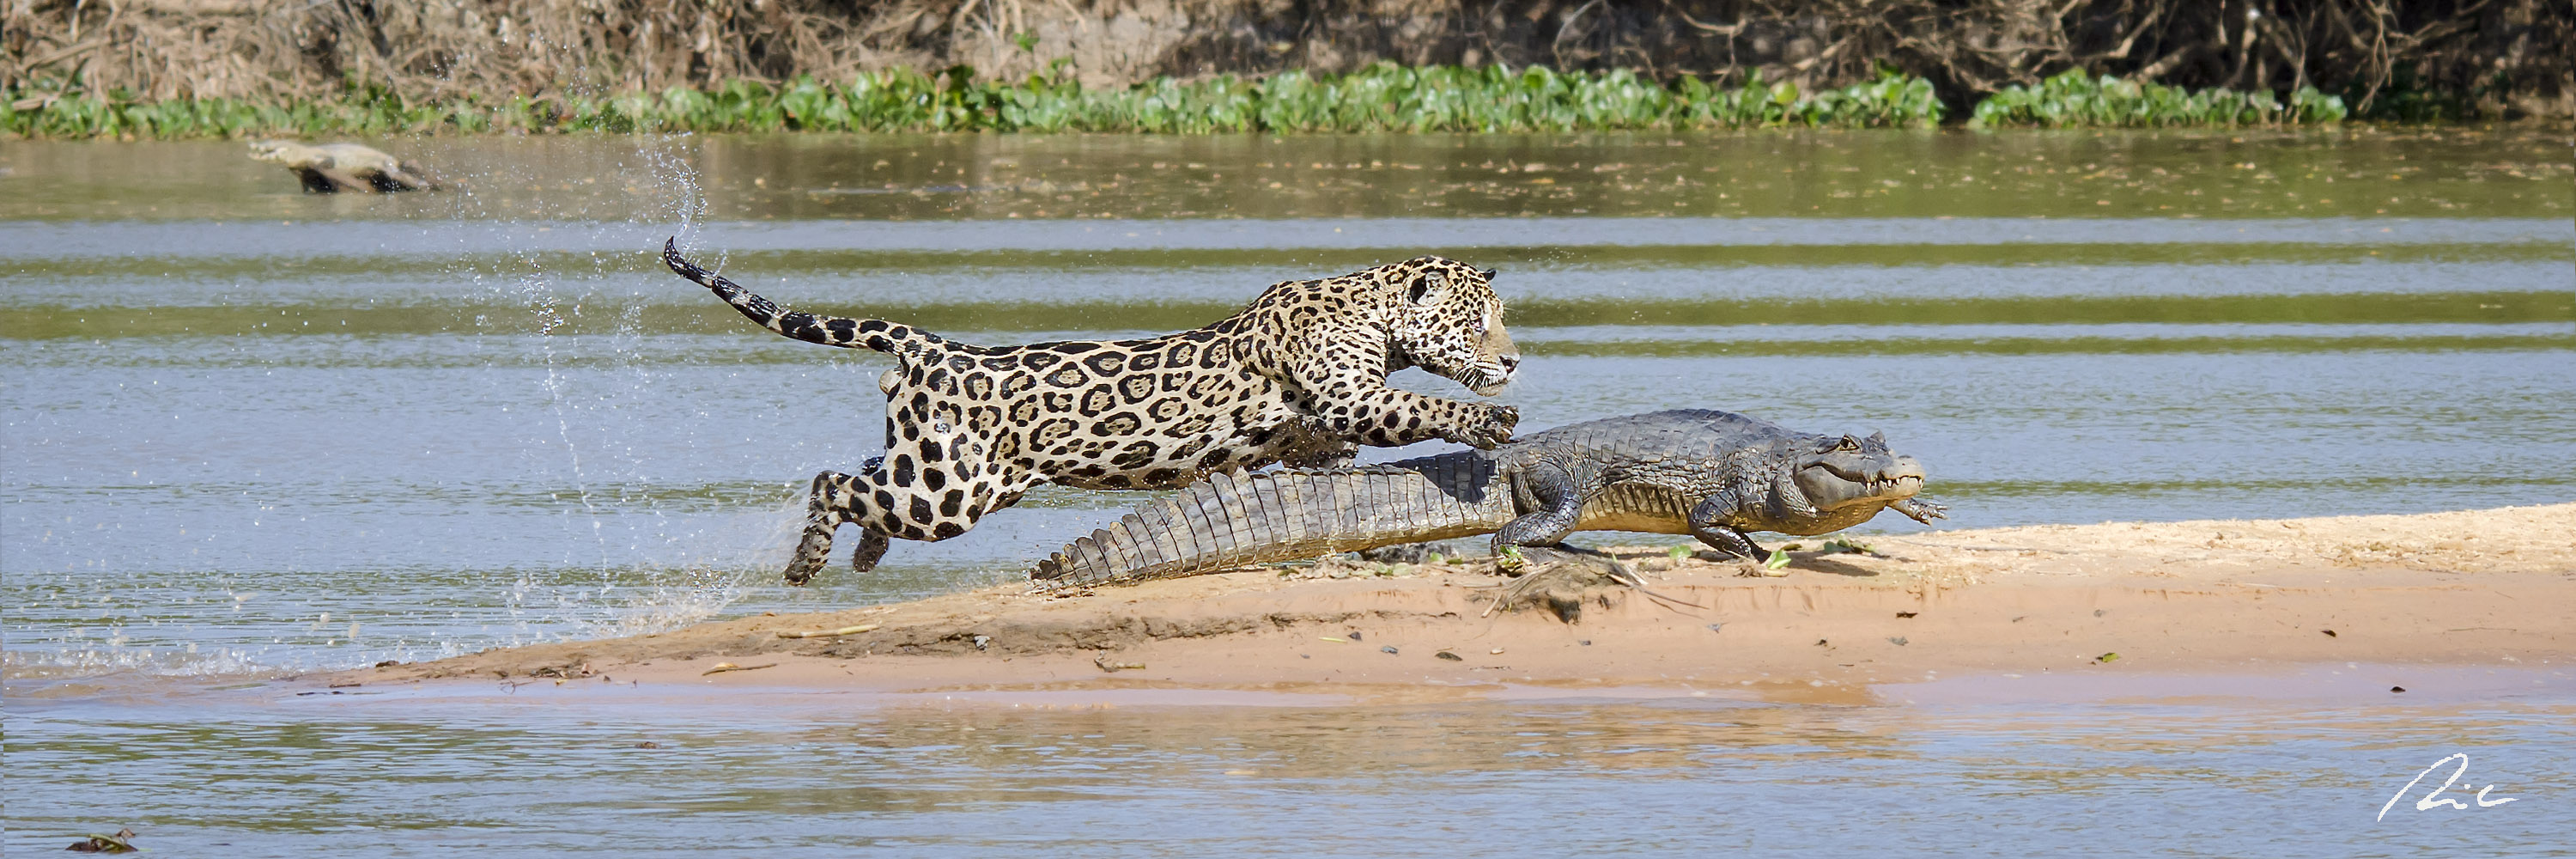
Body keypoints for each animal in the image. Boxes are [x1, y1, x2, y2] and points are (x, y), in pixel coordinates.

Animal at [661, 238, 1522, 585]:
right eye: (1479, 321)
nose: (1514, 359)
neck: (1371, 307)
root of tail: (927, 344)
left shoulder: (1323, 425)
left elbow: (1323, 452)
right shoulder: (1355, 396)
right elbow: (1421, 402)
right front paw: (1489, 421)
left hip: (929, 465)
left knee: (864, 476)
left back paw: (865, 552)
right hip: (948, 491)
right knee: (830, 481)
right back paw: (807, 561)